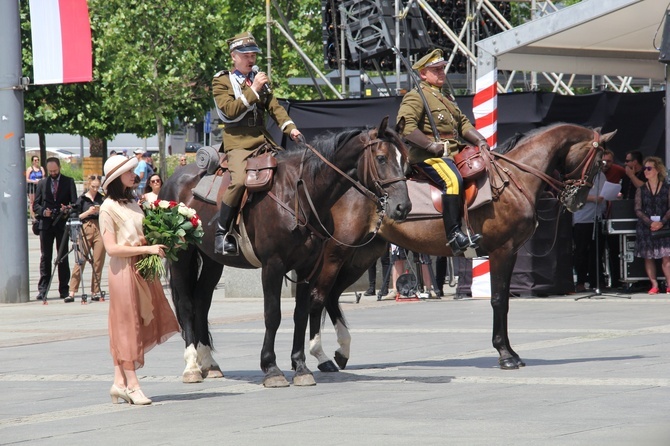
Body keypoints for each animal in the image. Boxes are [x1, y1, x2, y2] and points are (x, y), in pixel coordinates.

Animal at [162, 116, 412, 386]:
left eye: (405, 160)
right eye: (381, 158)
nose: (403, 207)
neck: (301, 193)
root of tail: (175, 177)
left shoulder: (307, 267)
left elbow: (300, 313)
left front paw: (301, 367)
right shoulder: (273, 265)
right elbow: (273, 314)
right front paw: (271, 368)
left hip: (212, 260)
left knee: (202, 301)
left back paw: (210, 362)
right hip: (181, 254)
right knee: (186, 304)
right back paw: (192, 366)